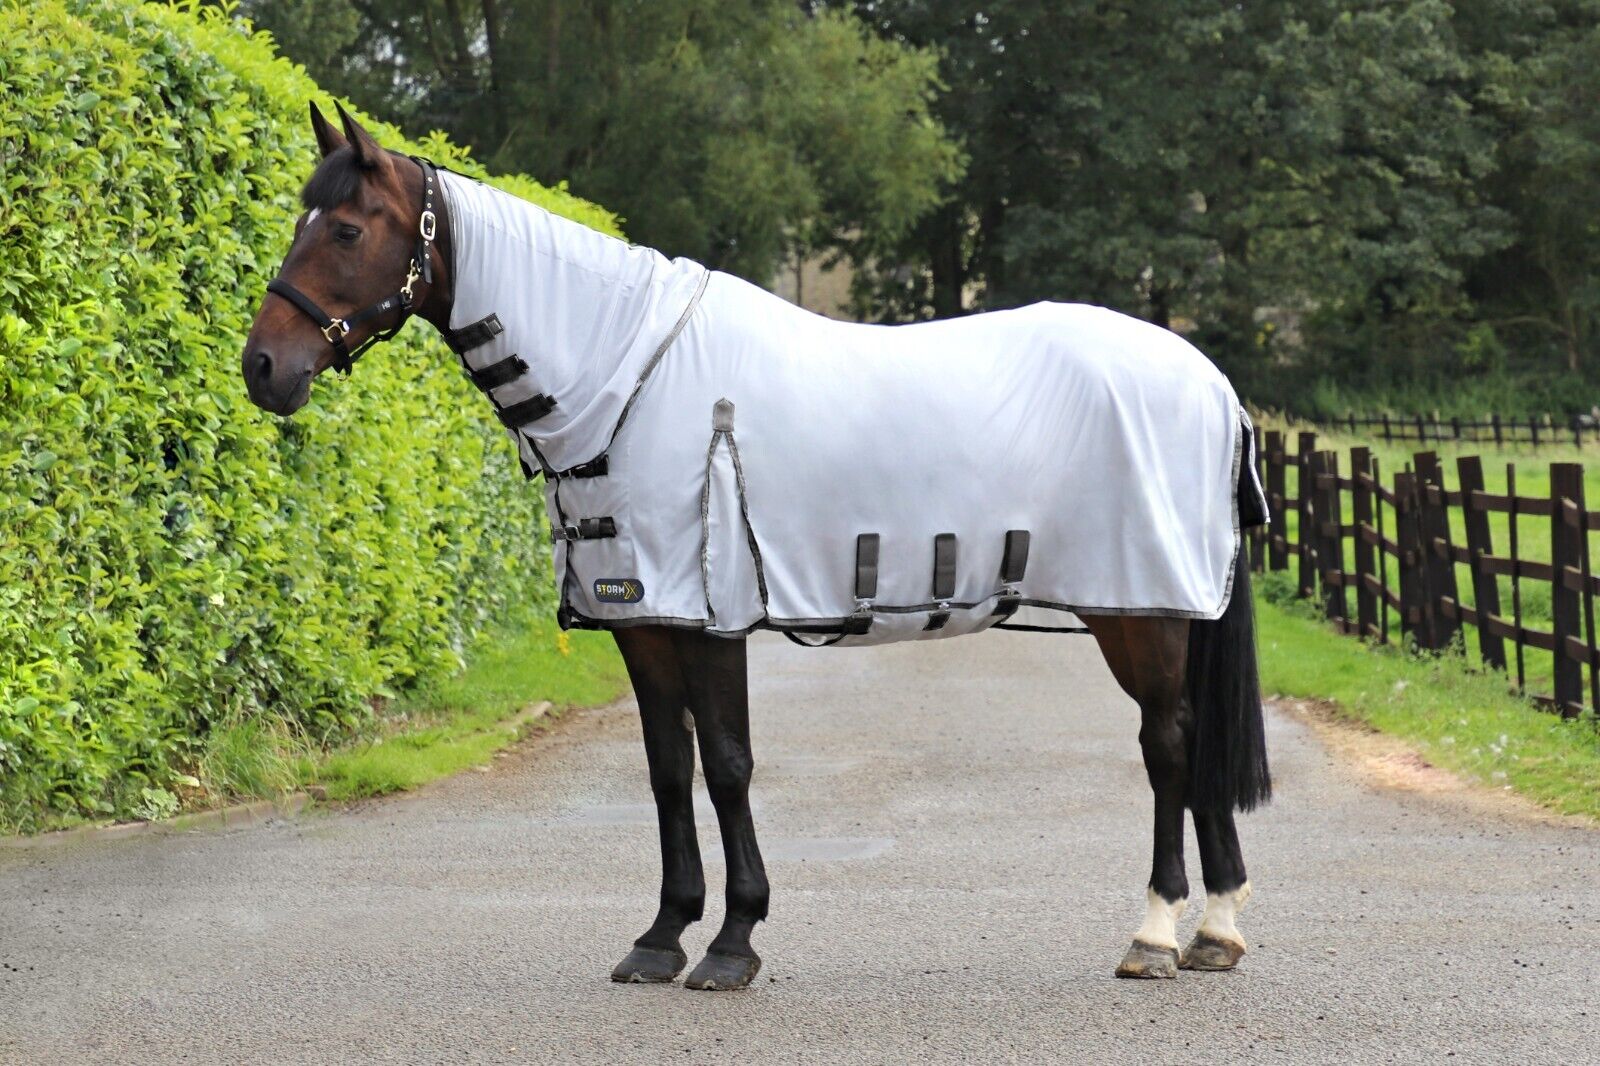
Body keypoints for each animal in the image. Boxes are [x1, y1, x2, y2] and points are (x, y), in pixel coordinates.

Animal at [241, 102, 1271, 991]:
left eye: (345, 229)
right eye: (298, 217)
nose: (262, 368)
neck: (626, 373)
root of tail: (1213, 383)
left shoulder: (713, 618)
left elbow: (729, 765)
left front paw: (733, 942)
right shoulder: (645, 622)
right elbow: (668, 772)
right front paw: (662, 936)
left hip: (1140, 611)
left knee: (1169, 745)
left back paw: (1156, 933)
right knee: (1194, 748)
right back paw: (1217, 931)